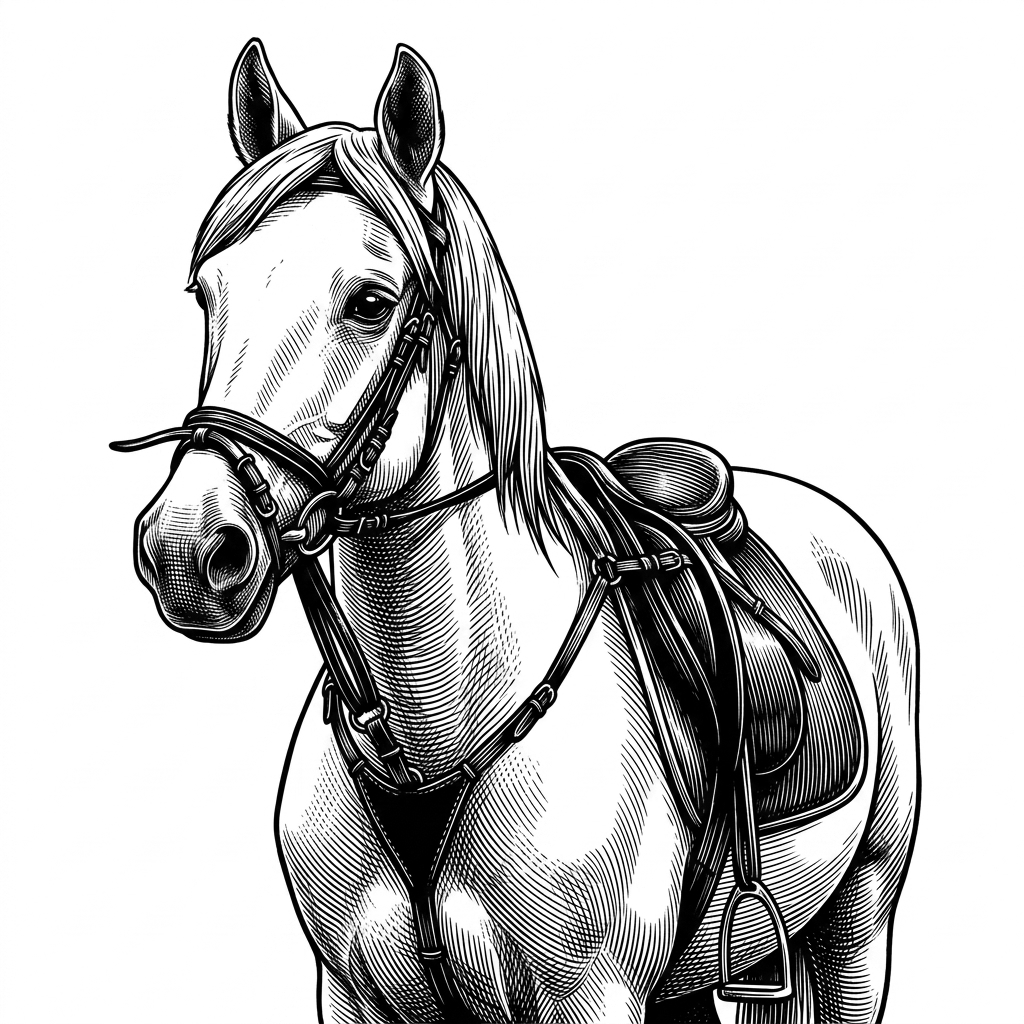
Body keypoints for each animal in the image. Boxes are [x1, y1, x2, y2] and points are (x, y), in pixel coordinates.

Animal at [114, 39, 919, 1024]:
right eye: (208, 294)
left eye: (371, 302)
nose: (188, 549)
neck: (427, 729)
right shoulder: (351, 995)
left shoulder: (591, 997)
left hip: (857, 920)